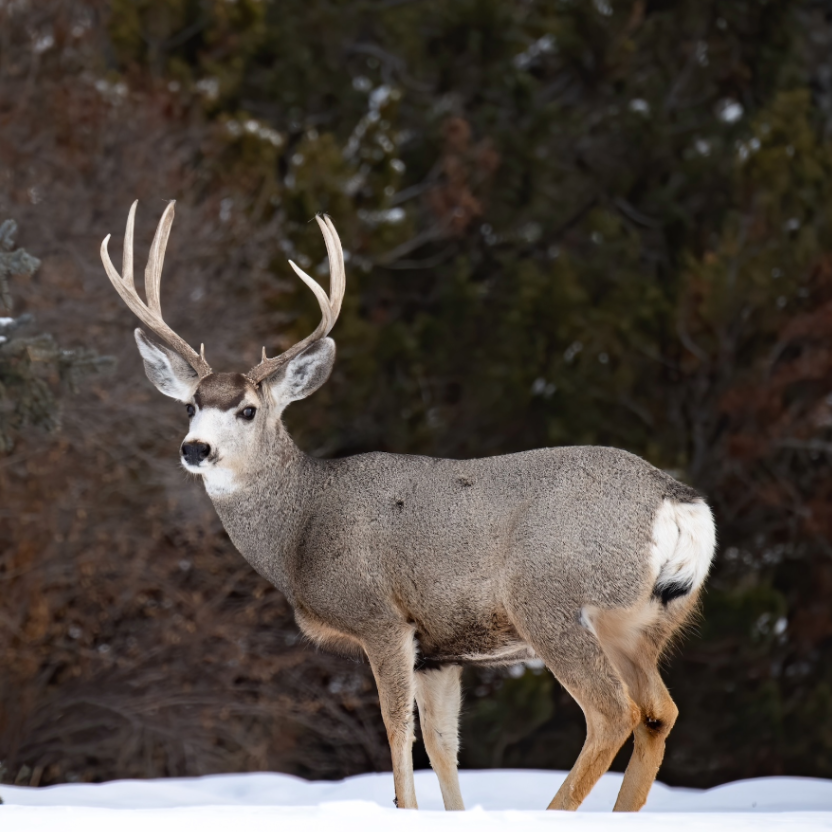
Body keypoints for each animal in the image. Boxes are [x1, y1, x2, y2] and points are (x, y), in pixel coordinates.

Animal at [100, 201, 716, 812]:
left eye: (248, 410)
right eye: (189, 406)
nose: (195, 448)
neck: (302, 529)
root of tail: (678, 501)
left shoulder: (382, 619)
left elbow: (397, 730)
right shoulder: (439, 654)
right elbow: (444, 746)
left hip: (551, 597)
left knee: (613, 713)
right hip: (646, 622)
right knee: (660, 713)